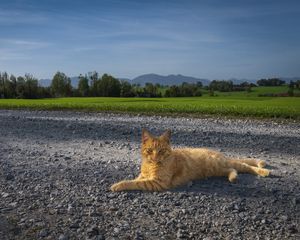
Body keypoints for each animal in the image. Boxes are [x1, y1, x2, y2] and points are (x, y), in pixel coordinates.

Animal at [110, 129, 270, 191]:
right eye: (150, 151)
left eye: (161, 151)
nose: (155, 157)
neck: (150, 166)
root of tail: (219, 153)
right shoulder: (144, 176)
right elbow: (136, 179)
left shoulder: (158, 182)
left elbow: (134, 183)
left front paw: (118, 185)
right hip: (218, 169)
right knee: (233, 169)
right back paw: (233, 178)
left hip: (221, 164)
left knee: (244, 165)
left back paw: (264, 171)